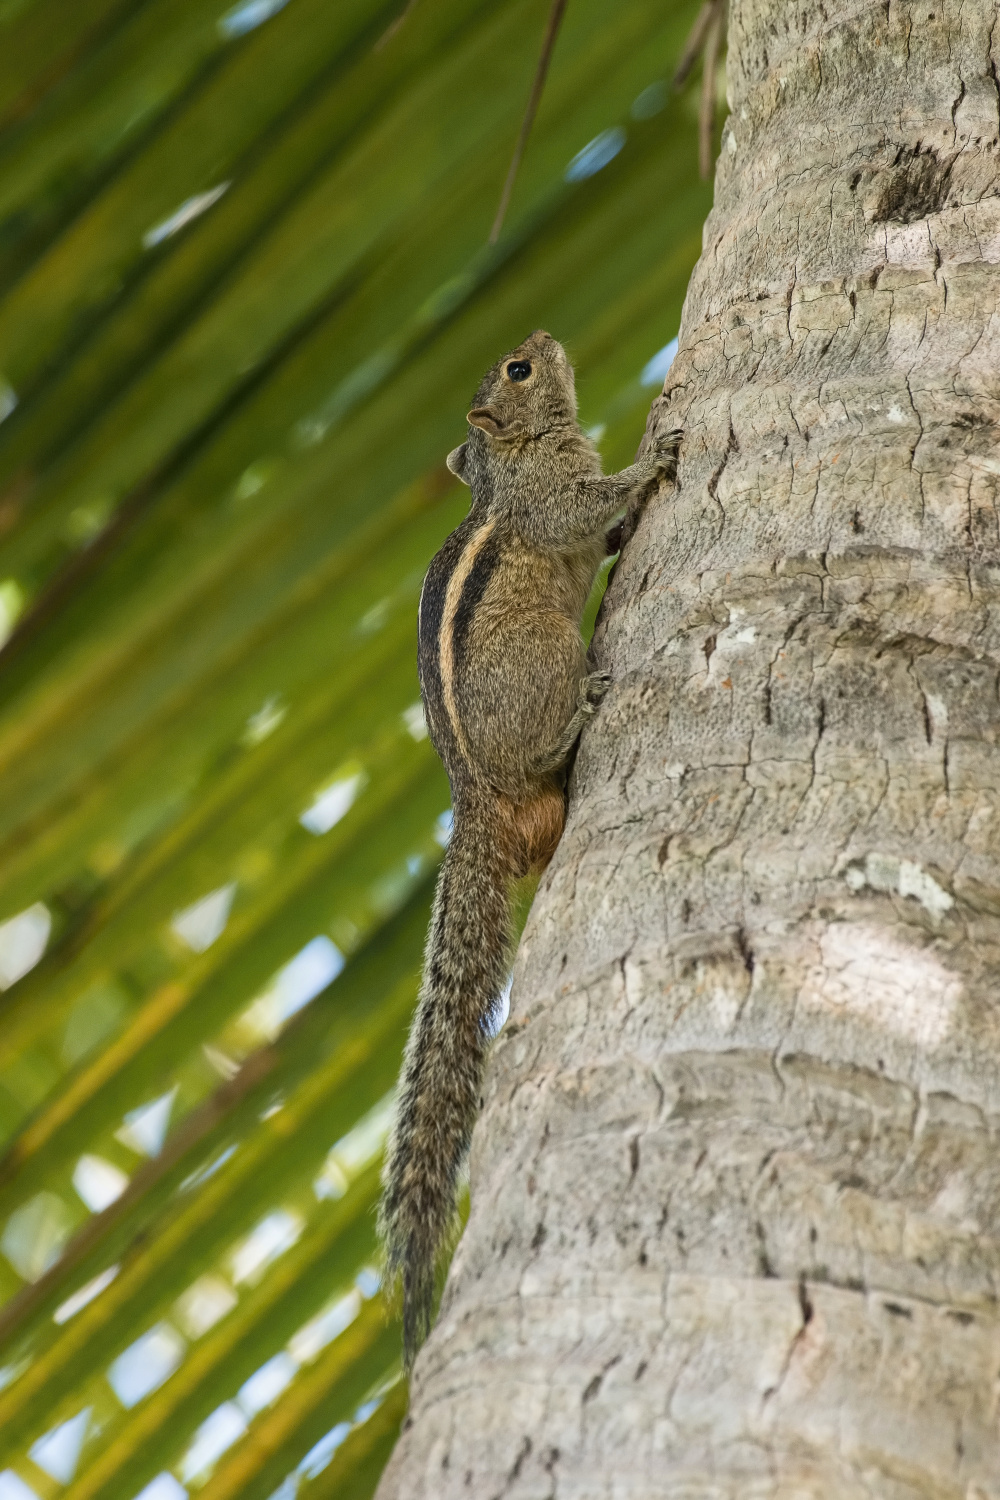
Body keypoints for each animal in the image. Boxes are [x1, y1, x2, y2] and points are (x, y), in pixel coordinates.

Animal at [377, 331, 680, 1374]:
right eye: (517, 370)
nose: (545, 339)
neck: (506, 463)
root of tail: (481, 807)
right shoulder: (551, 496)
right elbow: (585, 506)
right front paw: (652, 455)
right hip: (542, 654)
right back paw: (583, 706)